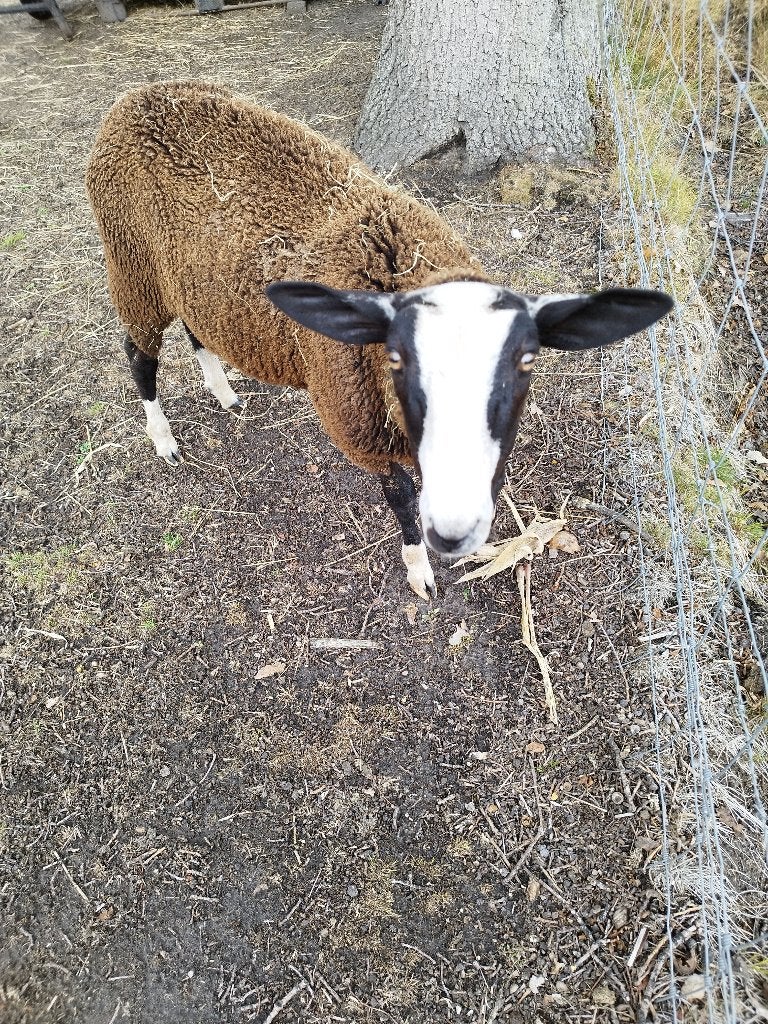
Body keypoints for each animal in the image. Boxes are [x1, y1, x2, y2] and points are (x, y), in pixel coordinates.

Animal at [85, 81, 673, 600]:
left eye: (523, 362)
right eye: (401, 358)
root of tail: (131, 101)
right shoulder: (365, 426)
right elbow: (401, 497)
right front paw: (420, 572)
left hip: (188, 281)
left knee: (195, 328)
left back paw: (224, 391)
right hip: (133, 266)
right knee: (138, 355)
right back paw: (163, 439)